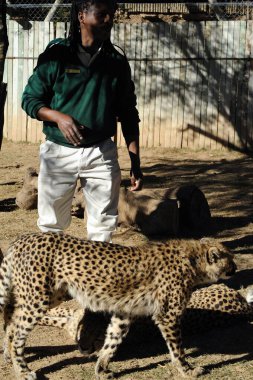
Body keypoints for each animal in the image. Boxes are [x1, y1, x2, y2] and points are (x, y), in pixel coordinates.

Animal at [0, 233, 235, 378]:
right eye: (229, 258)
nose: (235, 267)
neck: (194, 260)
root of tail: (23, 239)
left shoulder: (124, 312)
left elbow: (112, 340)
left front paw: (101, 368)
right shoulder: (168, 315)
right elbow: (177, 349)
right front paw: (187, 370)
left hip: (50, 295)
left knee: (11, 321)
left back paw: (8, 357)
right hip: (38, 299)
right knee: (17, 333)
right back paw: (22, 370)